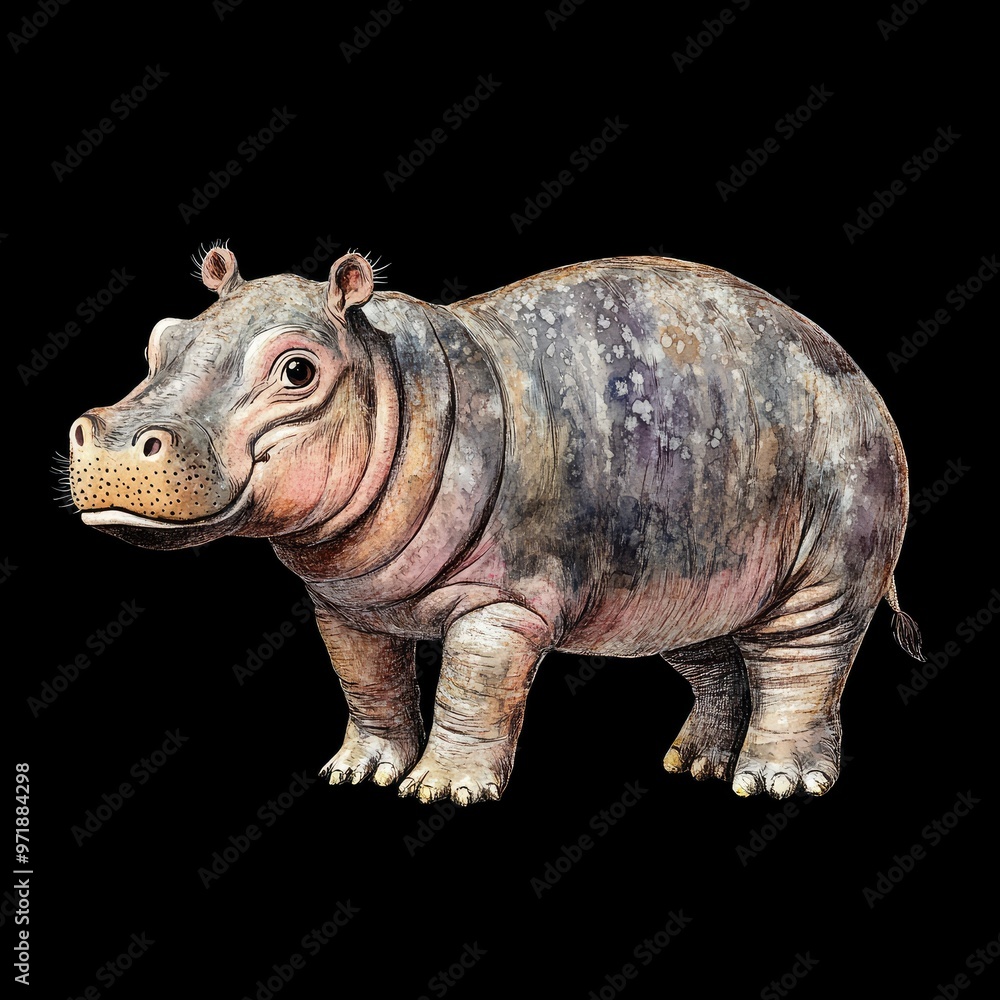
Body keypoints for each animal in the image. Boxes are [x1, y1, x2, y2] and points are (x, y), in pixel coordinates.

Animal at [68, 245, 924, 805]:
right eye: (159, 338)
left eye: (298, 369)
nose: (109, 435)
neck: (387, 377)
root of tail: (860, 379)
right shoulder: (346, 602)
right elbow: (366, 682)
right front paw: (357, 774)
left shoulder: (505, 603)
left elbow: (471, 689)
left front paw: (442, 792)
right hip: (686, 572)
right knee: (713, 657)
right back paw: (694, 767)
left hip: (836, 531)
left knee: (804, 658)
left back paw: (774, 784)